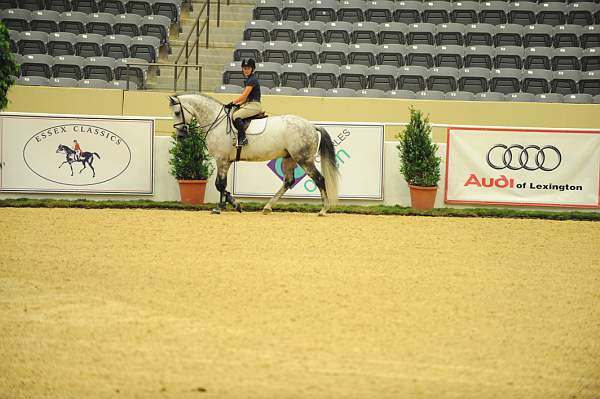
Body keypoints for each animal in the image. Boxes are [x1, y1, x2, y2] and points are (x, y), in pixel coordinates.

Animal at [169, 94, 338, 216]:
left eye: (177, 112)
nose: (181, 136)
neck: (217, 122)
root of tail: (311, 126)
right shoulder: (227, 161)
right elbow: (221, 185)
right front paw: (235, 204)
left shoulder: (221, 159)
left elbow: (220, 184)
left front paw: (220, 207)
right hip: (289, 158)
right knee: (288, 181)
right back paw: (267, 207)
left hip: (304, 160)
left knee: (319, 179)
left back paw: (323, 210)